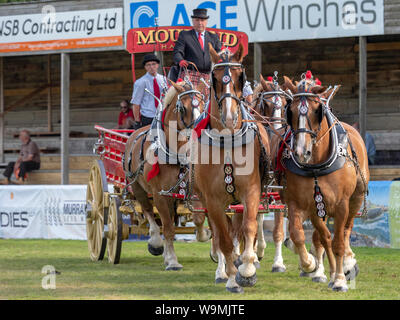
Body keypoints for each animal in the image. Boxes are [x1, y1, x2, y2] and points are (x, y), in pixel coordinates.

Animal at [123, 80, 206, 270]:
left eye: (203, 105)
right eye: (182, 108)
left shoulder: (193, 190)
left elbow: (198, 217)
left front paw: (204, 234)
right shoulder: (160, 195)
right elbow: (167, 228)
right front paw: (173, 261)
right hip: (138, 187)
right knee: (148, 211)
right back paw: (156, 243)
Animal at [191, 43, 272, 294]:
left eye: (239, 77)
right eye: (215, 78)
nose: (228, 117)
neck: (227, 140)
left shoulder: (251, 191)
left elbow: (249, 227)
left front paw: (247, 270)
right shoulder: (213, 200)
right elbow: (224, 239)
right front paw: (232, 278)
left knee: (239, 229)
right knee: (220, 234)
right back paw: (223, 271)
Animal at [278, 75, 368, 292]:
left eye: (316, 110)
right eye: (290, 111)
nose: (301, 152)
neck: (316, 166)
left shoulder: (342, 204)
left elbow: (339, 242)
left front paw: (340, 279)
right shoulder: (302, 204)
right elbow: (299, 235)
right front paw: (310, 264)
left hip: (356, 198)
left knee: (346, 230)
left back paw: (347, 263)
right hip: (319, 207)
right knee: (324, 238)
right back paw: (329, 270)